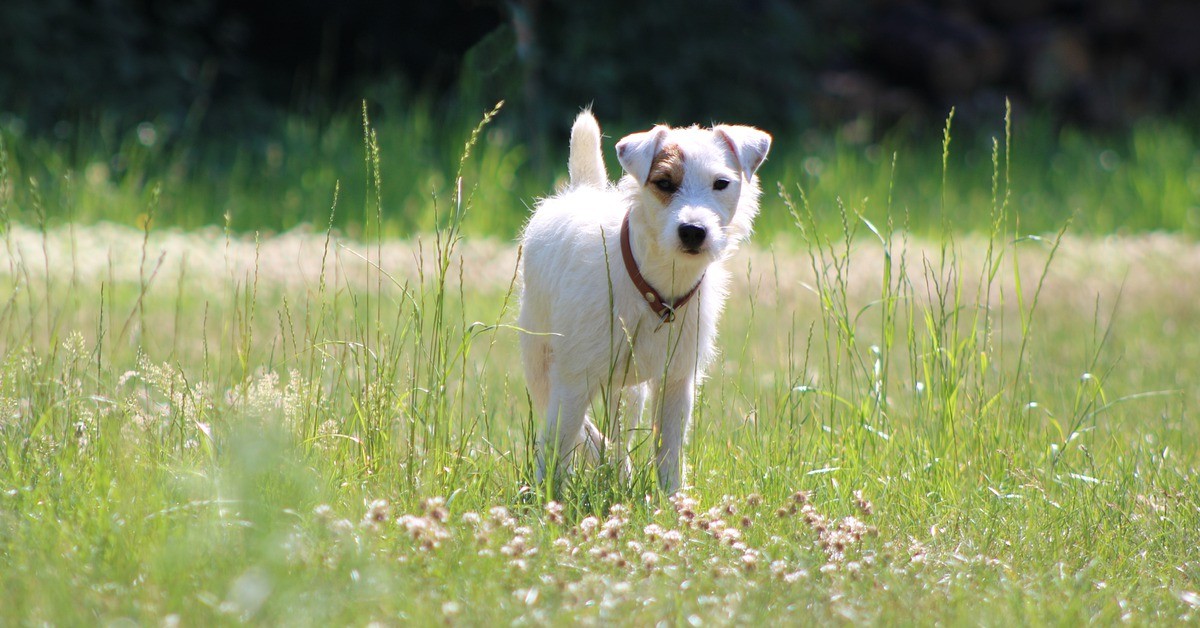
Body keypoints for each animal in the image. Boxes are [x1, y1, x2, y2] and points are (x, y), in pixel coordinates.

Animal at [520, 109, 772, 497]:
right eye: (664, 183)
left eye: (721, 183)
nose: (693, 231)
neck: (654, 289)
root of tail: (582, 191)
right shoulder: (572, 380)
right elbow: (561, 442)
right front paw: (550, 499)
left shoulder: (676, 383)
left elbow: (668, 452)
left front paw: (672, 501)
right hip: (539, 360)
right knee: (575, 424)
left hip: (628, 391)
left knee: (618, 429)